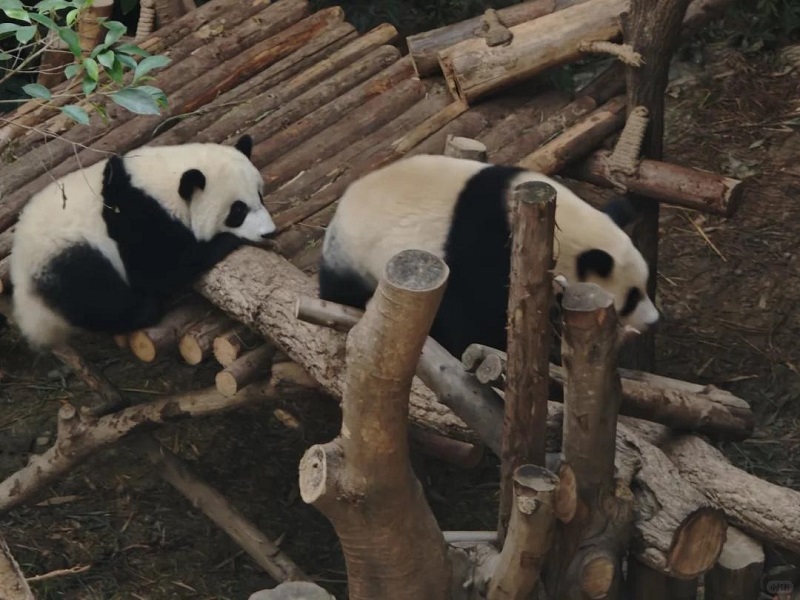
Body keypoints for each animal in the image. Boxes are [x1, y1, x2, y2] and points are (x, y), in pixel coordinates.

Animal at [10, 135, 275, 350]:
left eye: (260, 196)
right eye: (238, 211)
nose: (269, 233)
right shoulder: (137, 218)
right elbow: (158, 271)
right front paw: (227, 240)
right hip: (64, 256)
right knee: (97, 293)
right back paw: (145, 310)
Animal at [318, 153, 659, 360]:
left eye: (646, 286)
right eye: (631, 298)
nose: (653, 321)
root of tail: (341, 206)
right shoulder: (484, 248)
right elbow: (473, 315)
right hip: (354, 255)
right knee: (341, 289)